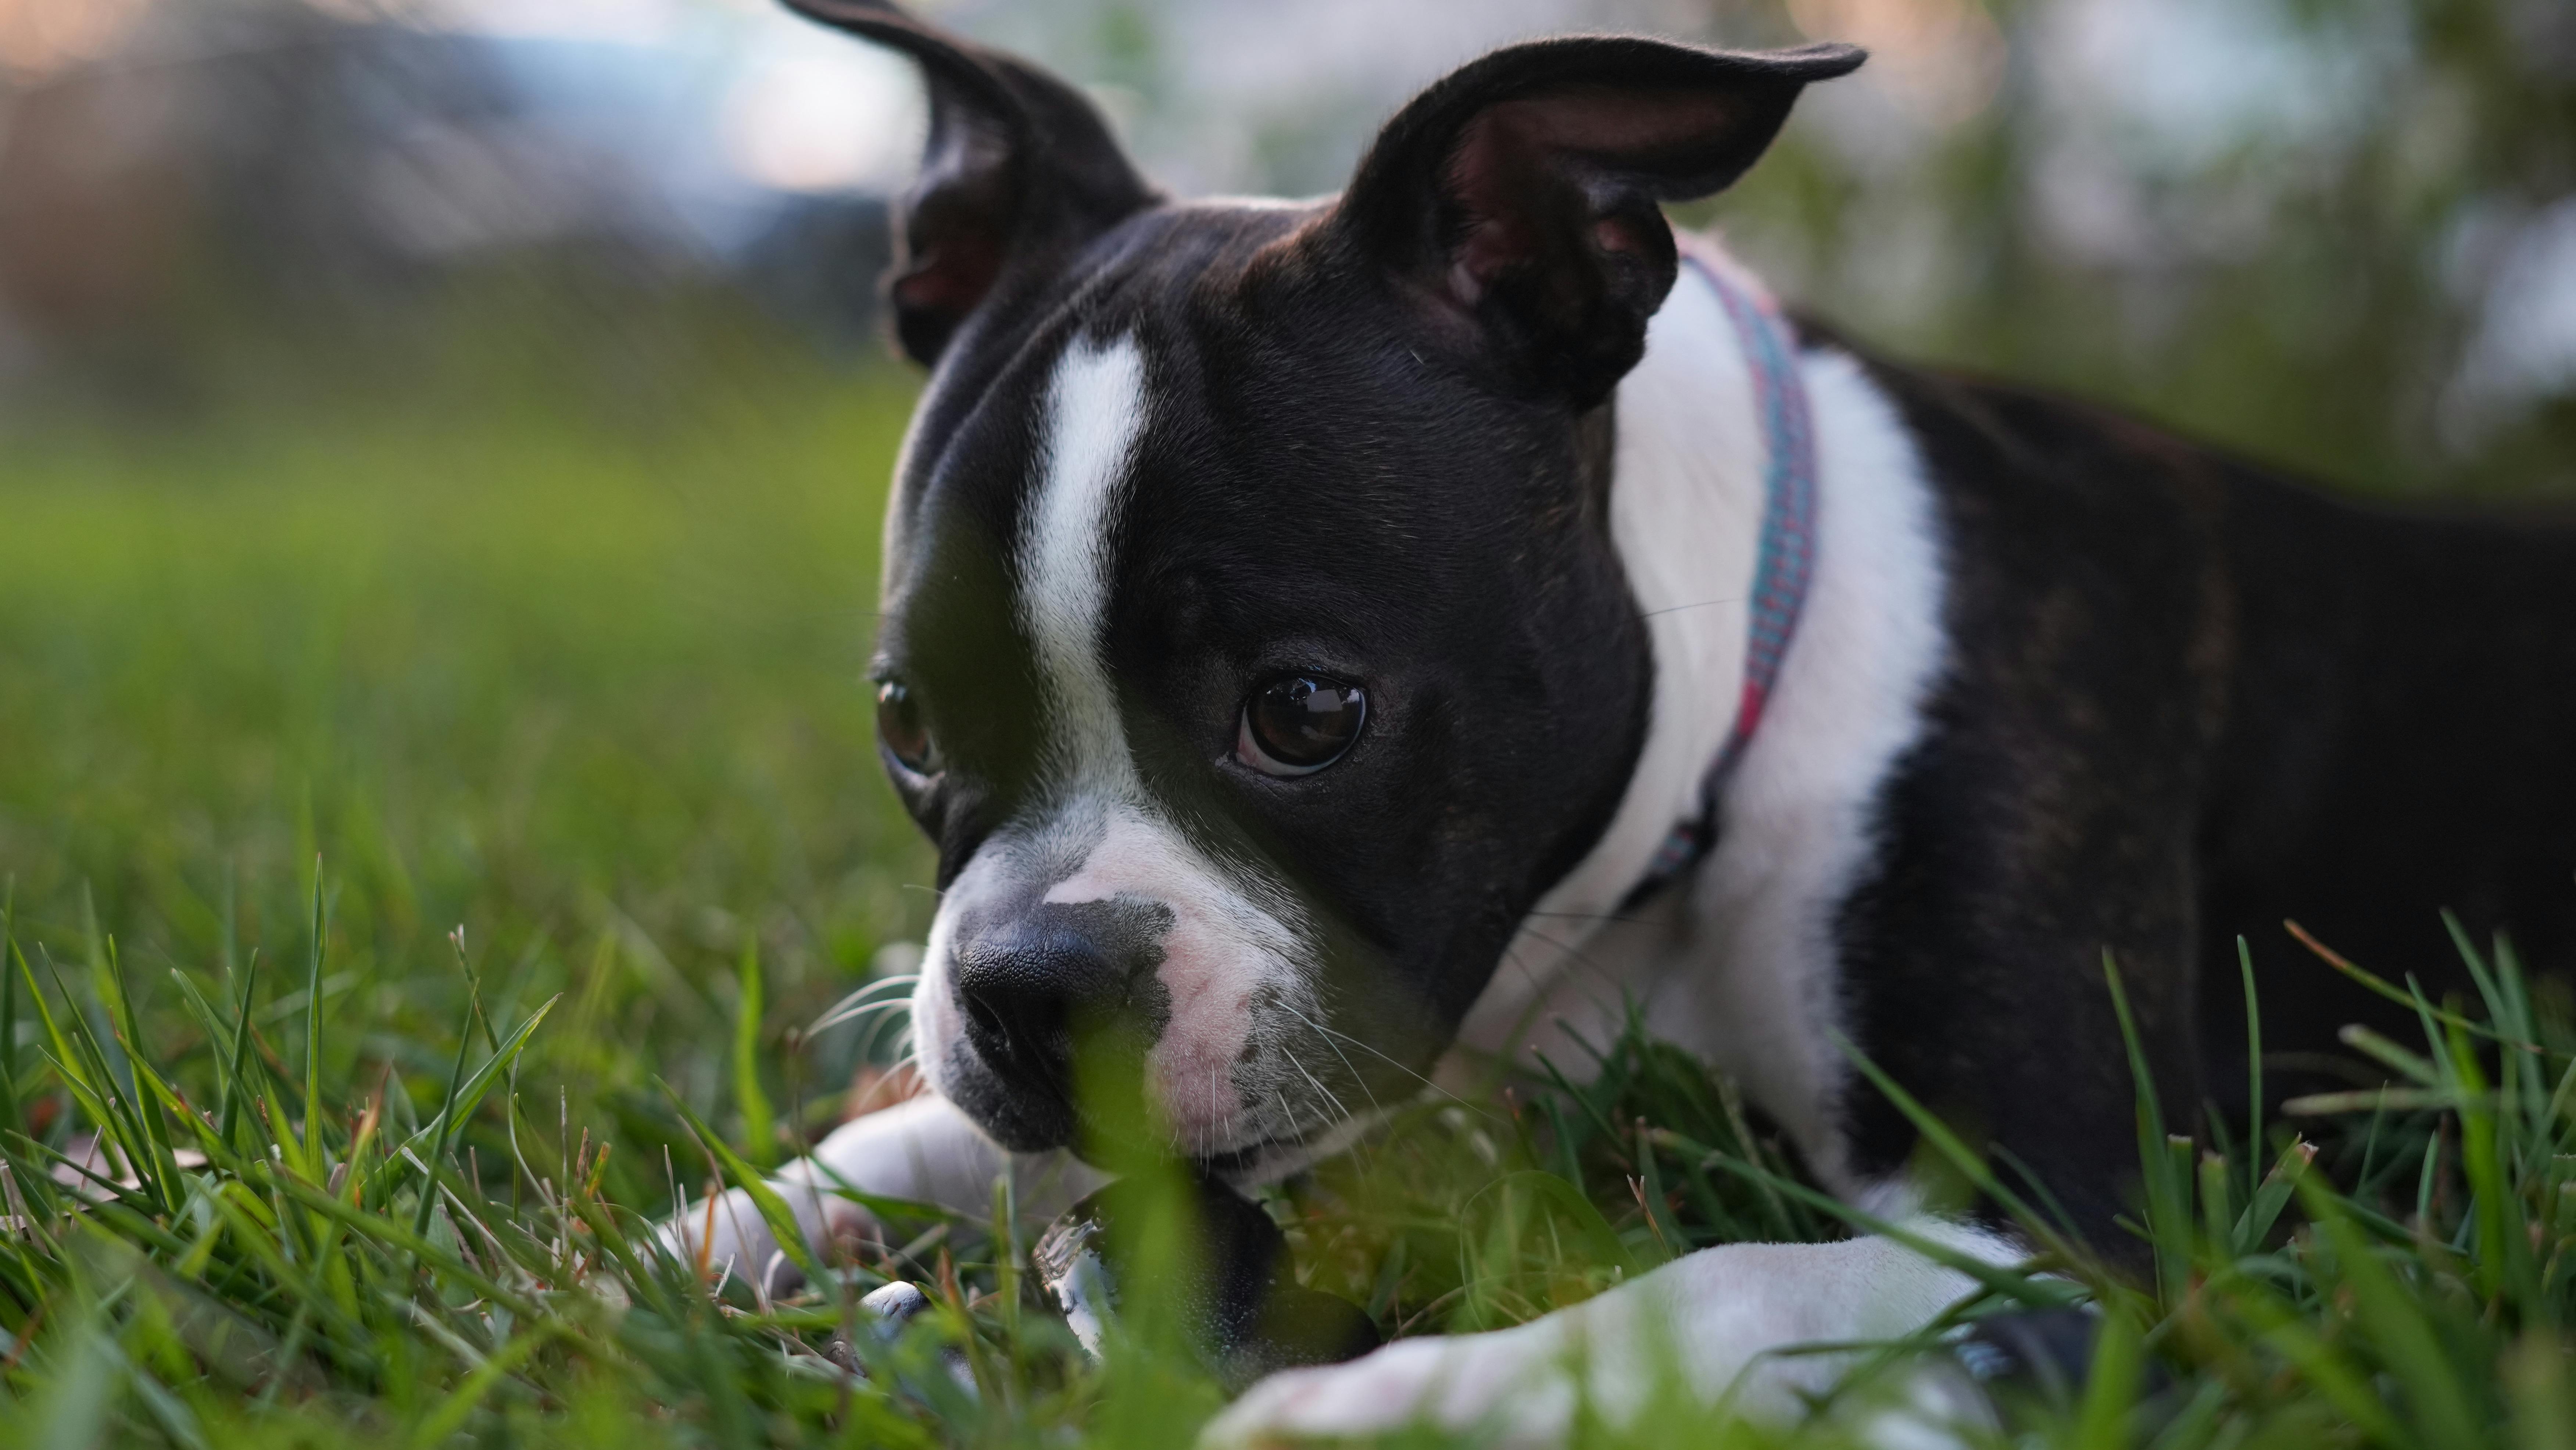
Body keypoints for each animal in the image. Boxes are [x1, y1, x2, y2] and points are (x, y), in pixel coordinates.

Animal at [675, 0, 2576, 1442]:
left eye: (1305, 712)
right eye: (908, 720)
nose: (1032, 982)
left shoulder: (2063, 1205)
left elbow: (1712, 1283)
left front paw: (1390, 1406)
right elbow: (940, 1127)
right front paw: (749, 1220)